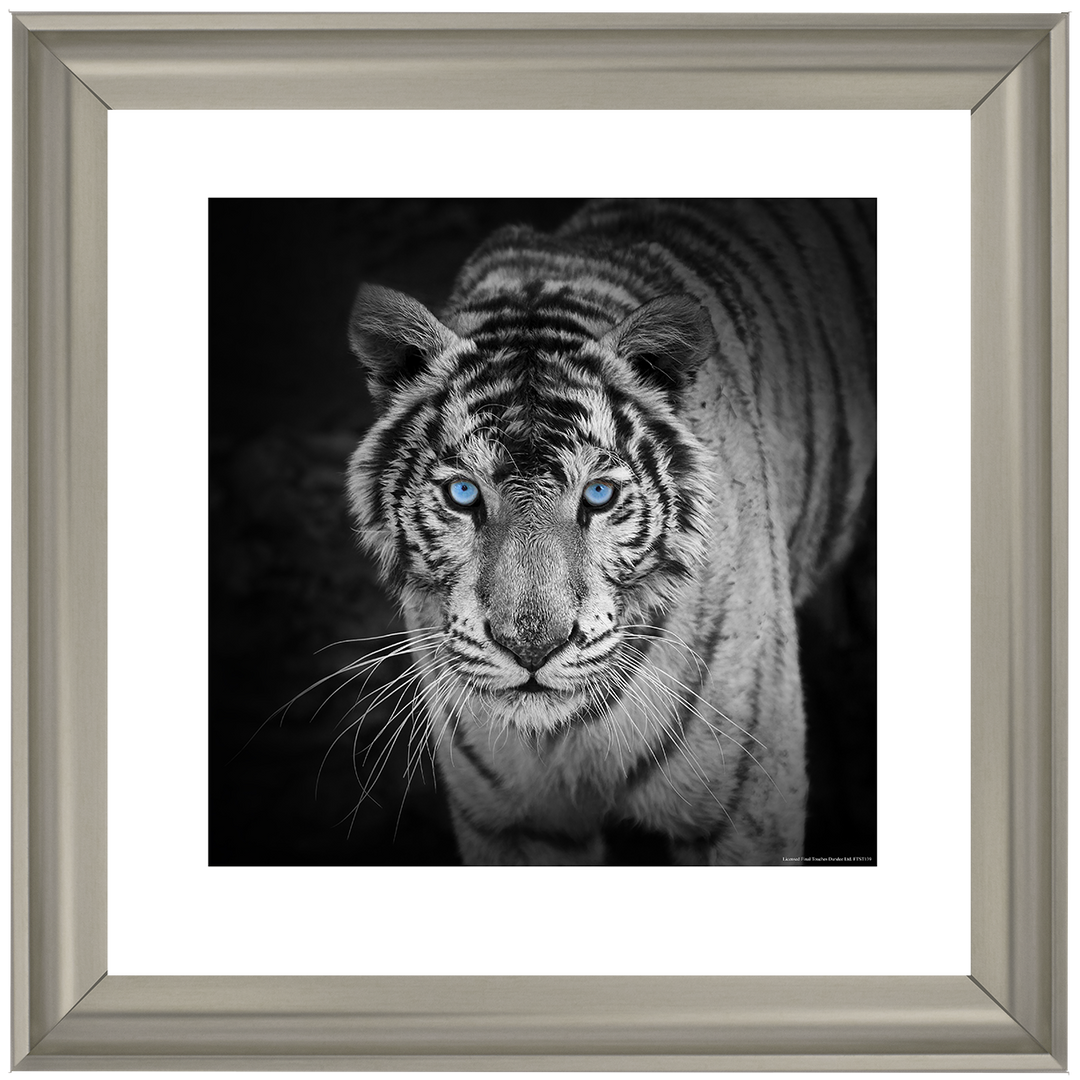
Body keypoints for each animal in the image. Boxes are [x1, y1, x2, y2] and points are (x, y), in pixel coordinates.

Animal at [344, 198, 875, 865]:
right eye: (463, 493)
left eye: (597, 495)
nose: (532, 649)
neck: (564, 735)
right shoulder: (513, 822)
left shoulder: (744, 810)